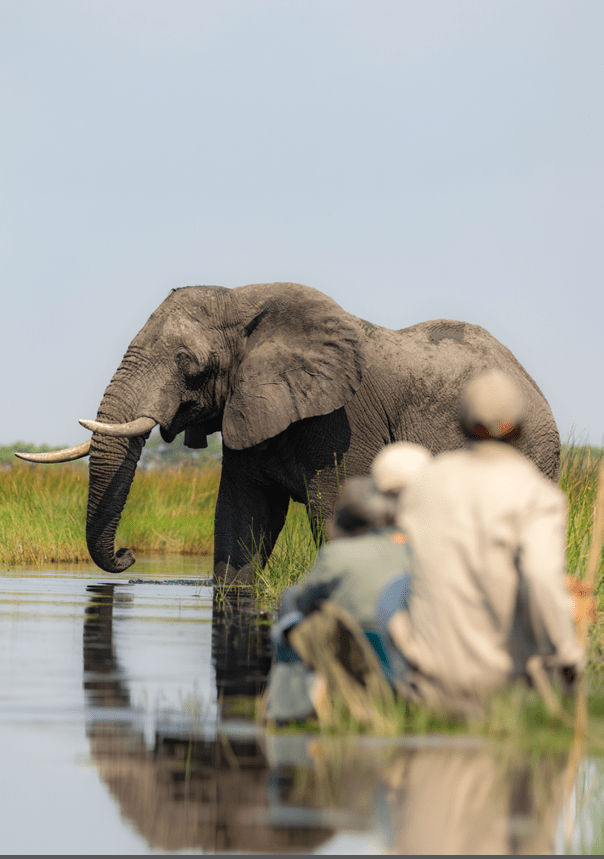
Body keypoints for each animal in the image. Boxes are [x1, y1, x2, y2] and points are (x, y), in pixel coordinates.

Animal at [19, 282, 560, 581]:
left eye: (188, 363)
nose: (129, 555)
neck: (246, 302)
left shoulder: (341, 423)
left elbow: (336, 511)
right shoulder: (248, 412)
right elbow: (240, 519)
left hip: (530, 451)